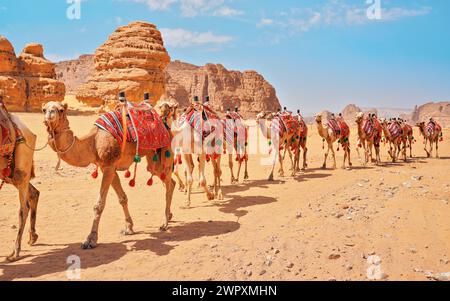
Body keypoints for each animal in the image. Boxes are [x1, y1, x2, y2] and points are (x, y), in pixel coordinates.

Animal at [42, 101, 175, 248]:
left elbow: (99, 205)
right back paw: (169, 216)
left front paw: (91, 239)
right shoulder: (107, 167)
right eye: (44, 109)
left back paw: (164, 223)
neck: (93, 142)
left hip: (165, 149)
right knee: (168, 180)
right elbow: (122, 198)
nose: (50, 114)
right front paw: (128, 228)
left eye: (60, 110)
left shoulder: (109, 166)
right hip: (152, 156)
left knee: (169, 183)